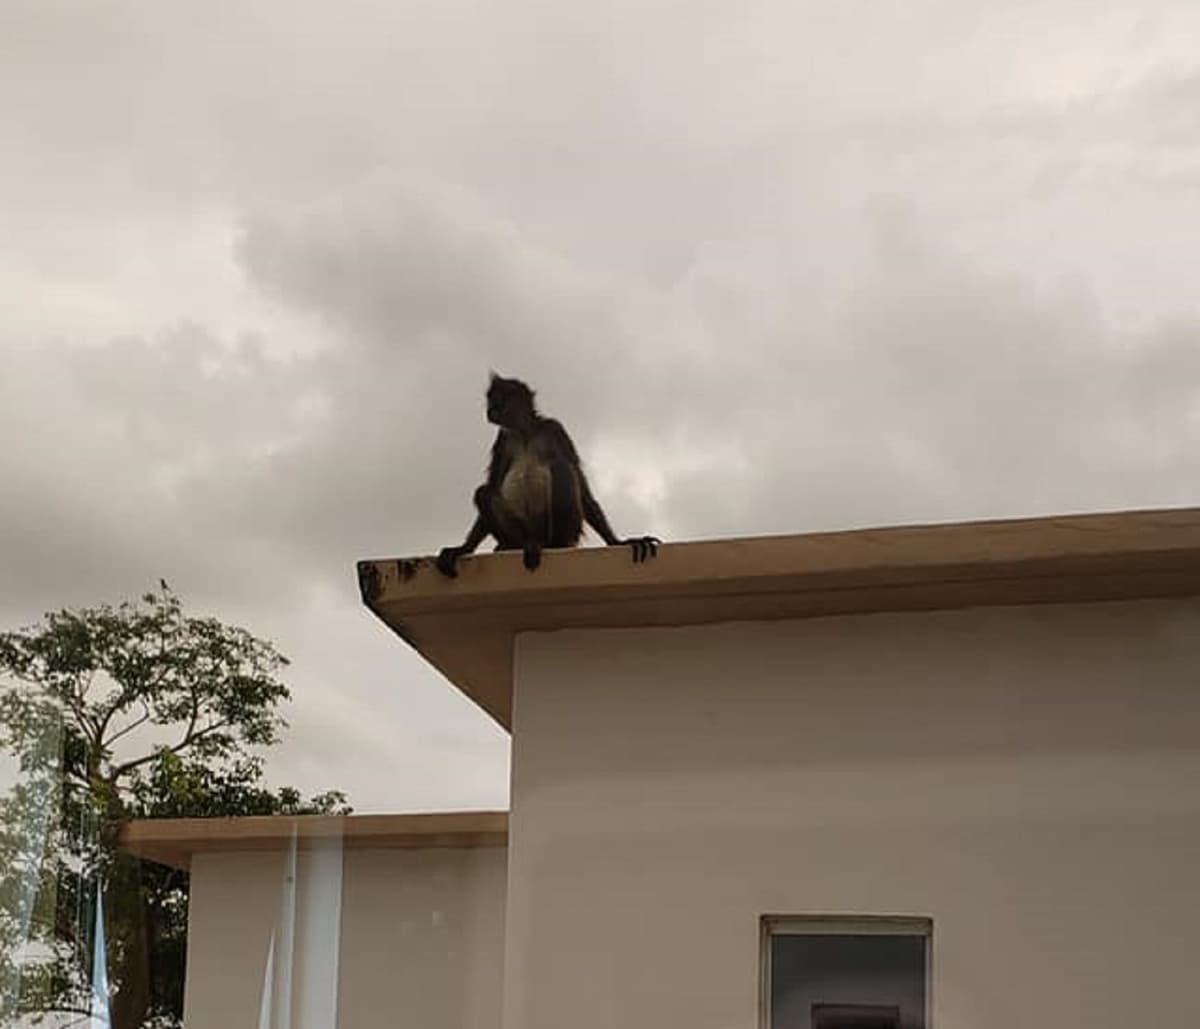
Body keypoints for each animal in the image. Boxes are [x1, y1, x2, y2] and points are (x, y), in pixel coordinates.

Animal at [435, 374, 661, 578]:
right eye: (490, 400)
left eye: (497, 399)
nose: (489, 410)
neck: (525, 432)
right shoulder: (503, 439)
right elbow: (493, 484)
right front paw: (463, 548)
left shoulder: (554, 428)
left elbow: (583, 489)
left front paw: (618, 542)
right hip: (525, 530)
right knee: (484, 492)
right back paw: (517, 545)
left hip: (566, 529)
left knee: (563, 468)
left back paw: (548, 544)